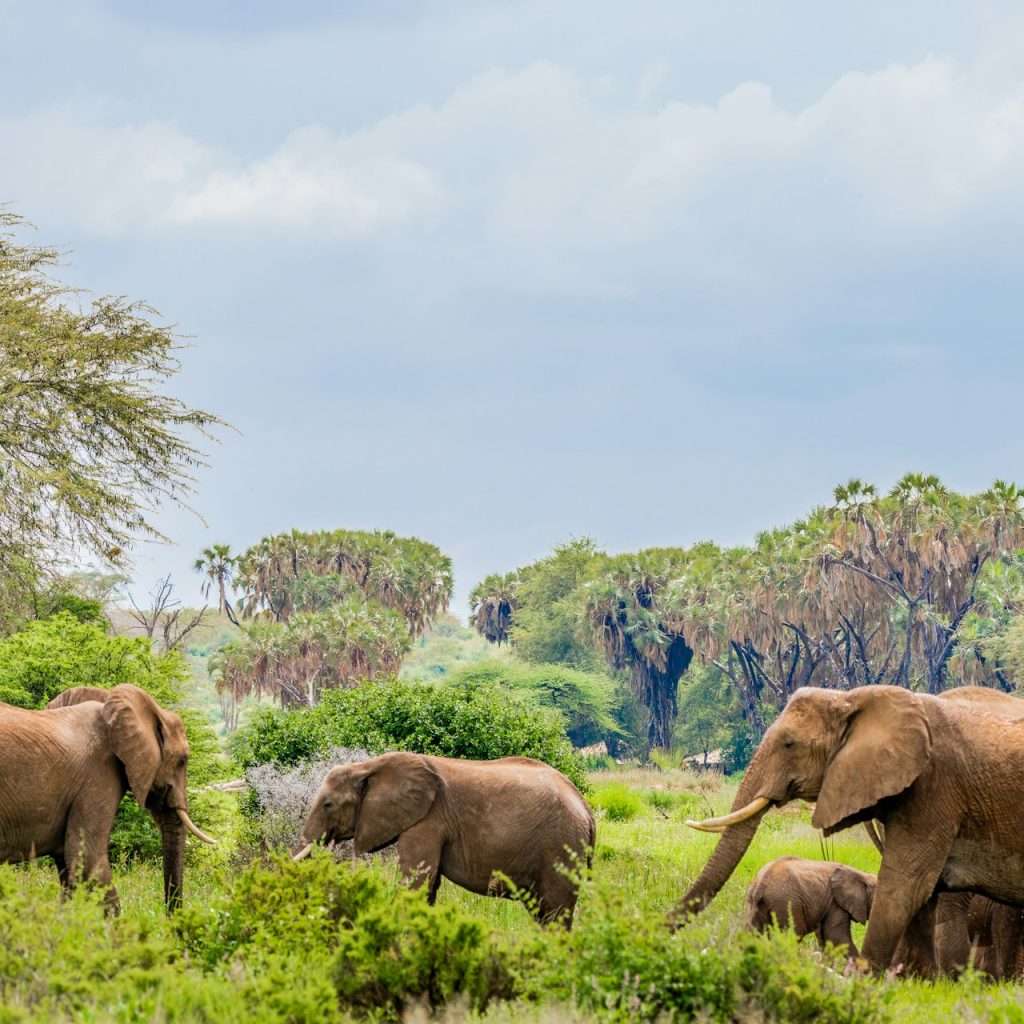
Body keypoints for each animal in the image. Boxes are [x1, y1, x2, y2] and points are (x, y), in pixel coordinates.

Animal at [294, 751, 595, 926]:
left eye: (328, 805)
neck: (367, 766)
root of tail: (586, 808)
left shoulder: (428, 819)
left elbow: (416, 881)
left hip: (560, 846)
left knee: (555, 913)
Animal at [746, 856, 875, 956]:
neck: (862, 875)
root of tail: (761, 884)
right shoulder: (835, 903)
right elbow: (836, 937)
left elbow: (825, 938)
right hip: (786, 902)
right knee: (793, 936)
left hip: (753, 903)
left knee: (752, 932)